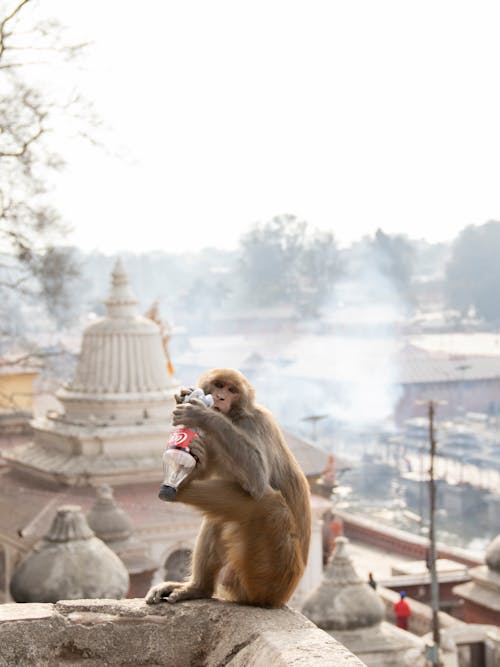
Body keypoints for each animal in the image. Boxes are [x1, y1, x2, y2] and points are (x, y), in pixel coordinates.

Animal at [144, 368, 312, 608]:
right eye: (219, 385)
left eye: (232, 390)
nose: (221, 398)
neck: (234, 416)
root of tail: (282, 597)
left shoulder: (253, 423)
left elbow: (257, 477)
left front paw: (201, 415)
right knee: (220, 518)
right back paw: (198, 588)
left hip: (269, 574)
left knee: (269, 504)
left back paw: (179, 488)